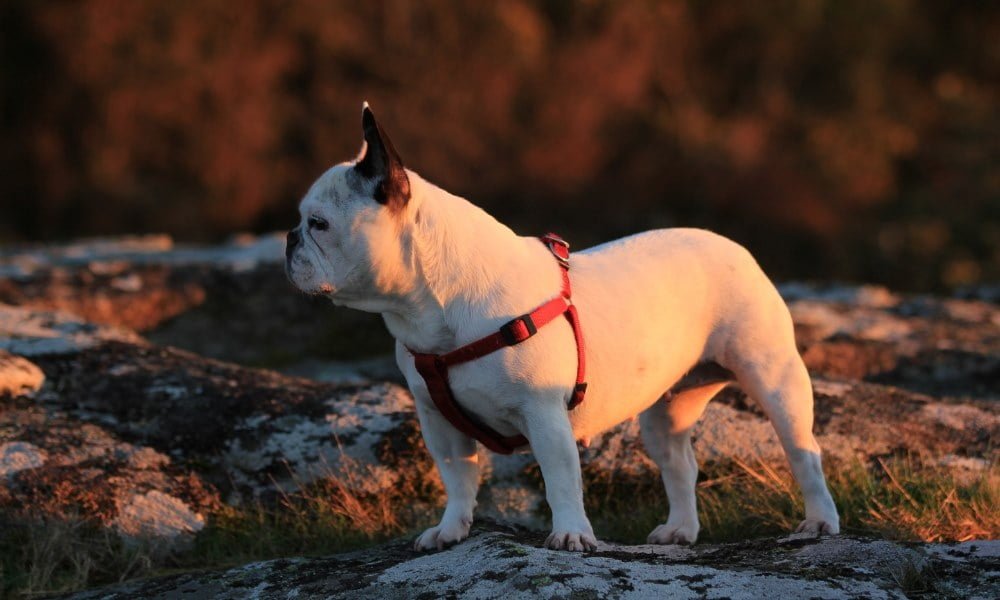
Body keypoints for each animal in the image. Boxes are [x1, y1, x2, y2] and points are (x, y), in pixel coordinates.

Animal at [286, 103, 840, 552]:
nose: (289, 238)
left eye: (319, 224)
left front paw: (572, 535)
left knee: (804, 453)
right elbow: (458, 479)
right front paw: (450, 530)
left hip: (774, 378)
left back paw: (819, 523)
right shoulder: (439, 421)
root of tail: (733, 246)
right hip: (666, 410)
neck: (432, 305)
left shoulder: (544, 414)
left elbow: (559, 479)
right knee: (679, 463)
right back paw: (680, 530)